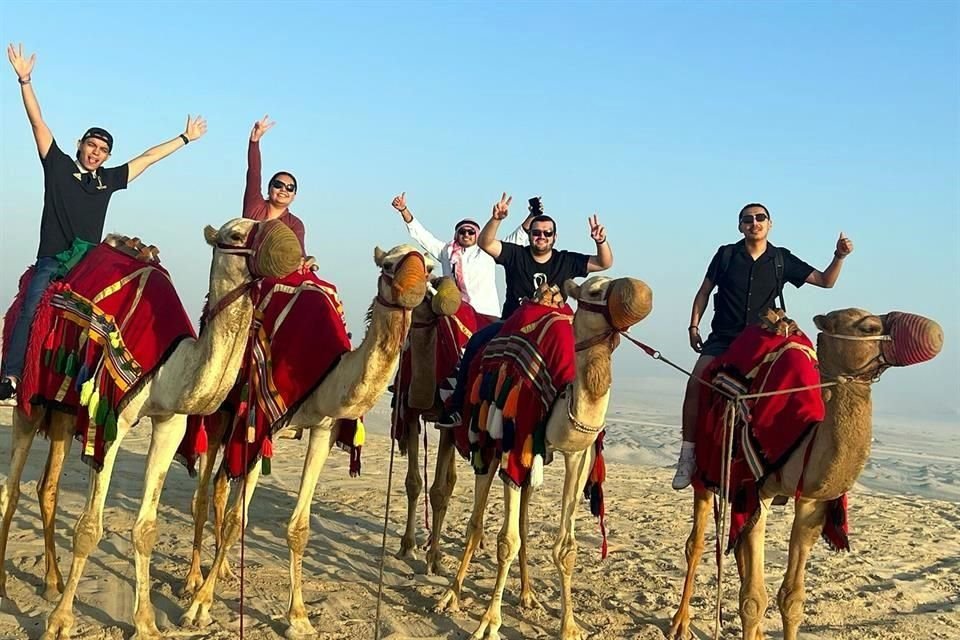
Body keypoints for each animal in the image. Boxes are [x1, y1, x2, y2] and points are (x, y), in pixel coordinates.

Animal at [0, 216, 304, 640]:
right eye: (236, 234)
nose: (289, 246)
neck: (171, 367)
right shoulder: (110, 419)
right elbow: (88, 529)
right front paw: (60, 622)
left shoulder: (170, 422)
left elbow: (146, 528)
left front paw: (145, 622)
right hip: (30, 395)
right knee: (10, 491)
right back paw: (5, 587)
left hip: (63, 407)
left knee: (48, 488)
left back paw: (52, 582)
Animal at [178, 242, 434, 636]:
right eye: (389, 264)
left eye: (431, 268)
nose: (413, 289)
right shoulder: (264, 425)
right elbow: (239, 519)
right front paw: (200, 606)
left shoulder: (324, 429)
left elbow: (299, 528)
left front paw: (298, 618)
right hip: (222, 409)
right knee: (203, 495)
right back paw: (193, 579)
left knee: (220, 484)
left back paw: (224, 570)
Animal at [668, 308, 944, 636]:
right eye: (868, 327)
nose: (934, 333)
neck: (803, 433)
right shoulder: (757, 488)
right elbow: (753, 600)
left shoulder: (812, 502)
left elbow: (792, 598)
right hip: (707, 468)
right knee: (696, 543)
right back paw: (680, 623)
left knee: (738, 550)